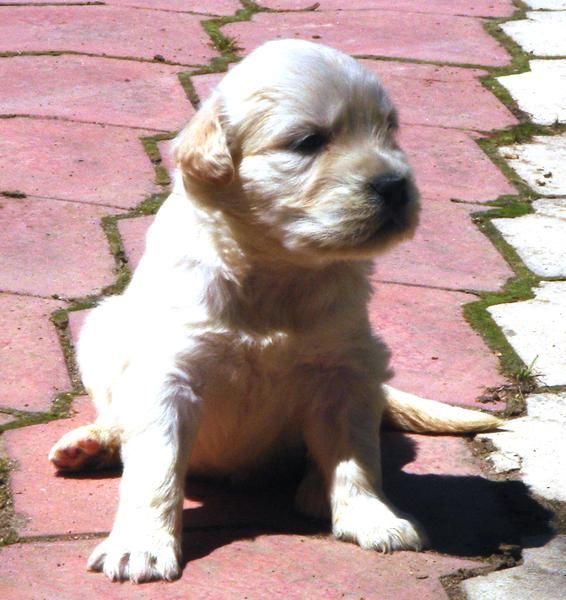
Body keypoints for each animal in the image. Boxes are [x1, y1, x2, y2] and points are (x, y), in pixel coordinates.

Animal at [48, 39, 502, 584]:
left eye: (389, 131)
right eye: (308, 141)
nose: (396, 185)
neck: (278, 269)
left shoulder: (346, 370)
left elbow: (356, 456)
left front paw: (371, 518)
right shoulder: (168, 373)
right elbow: (155, 467)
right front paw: (141, 545)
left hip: (372, 367)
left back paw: (314, 490)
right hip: (103, 328)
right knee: (117, 416)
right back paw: (91, 442)